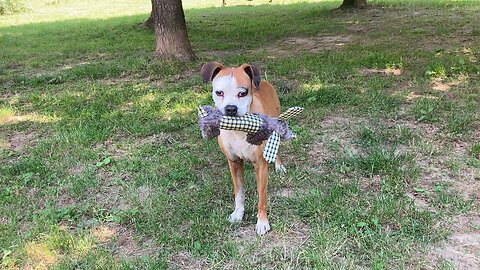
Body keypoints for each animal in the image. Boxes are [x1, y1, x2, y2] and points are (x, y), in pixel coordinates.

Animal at [200, 62, 284, 235]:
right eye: (219, 92)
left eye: (242, 92)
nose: (230, 108)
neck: (238, 128)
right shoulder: (234, 162)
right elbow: (238, 192)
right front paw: (238, 214)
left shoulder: (260, 165)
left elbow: (262, 197)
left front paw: (262, 222)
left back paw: (279, 166)